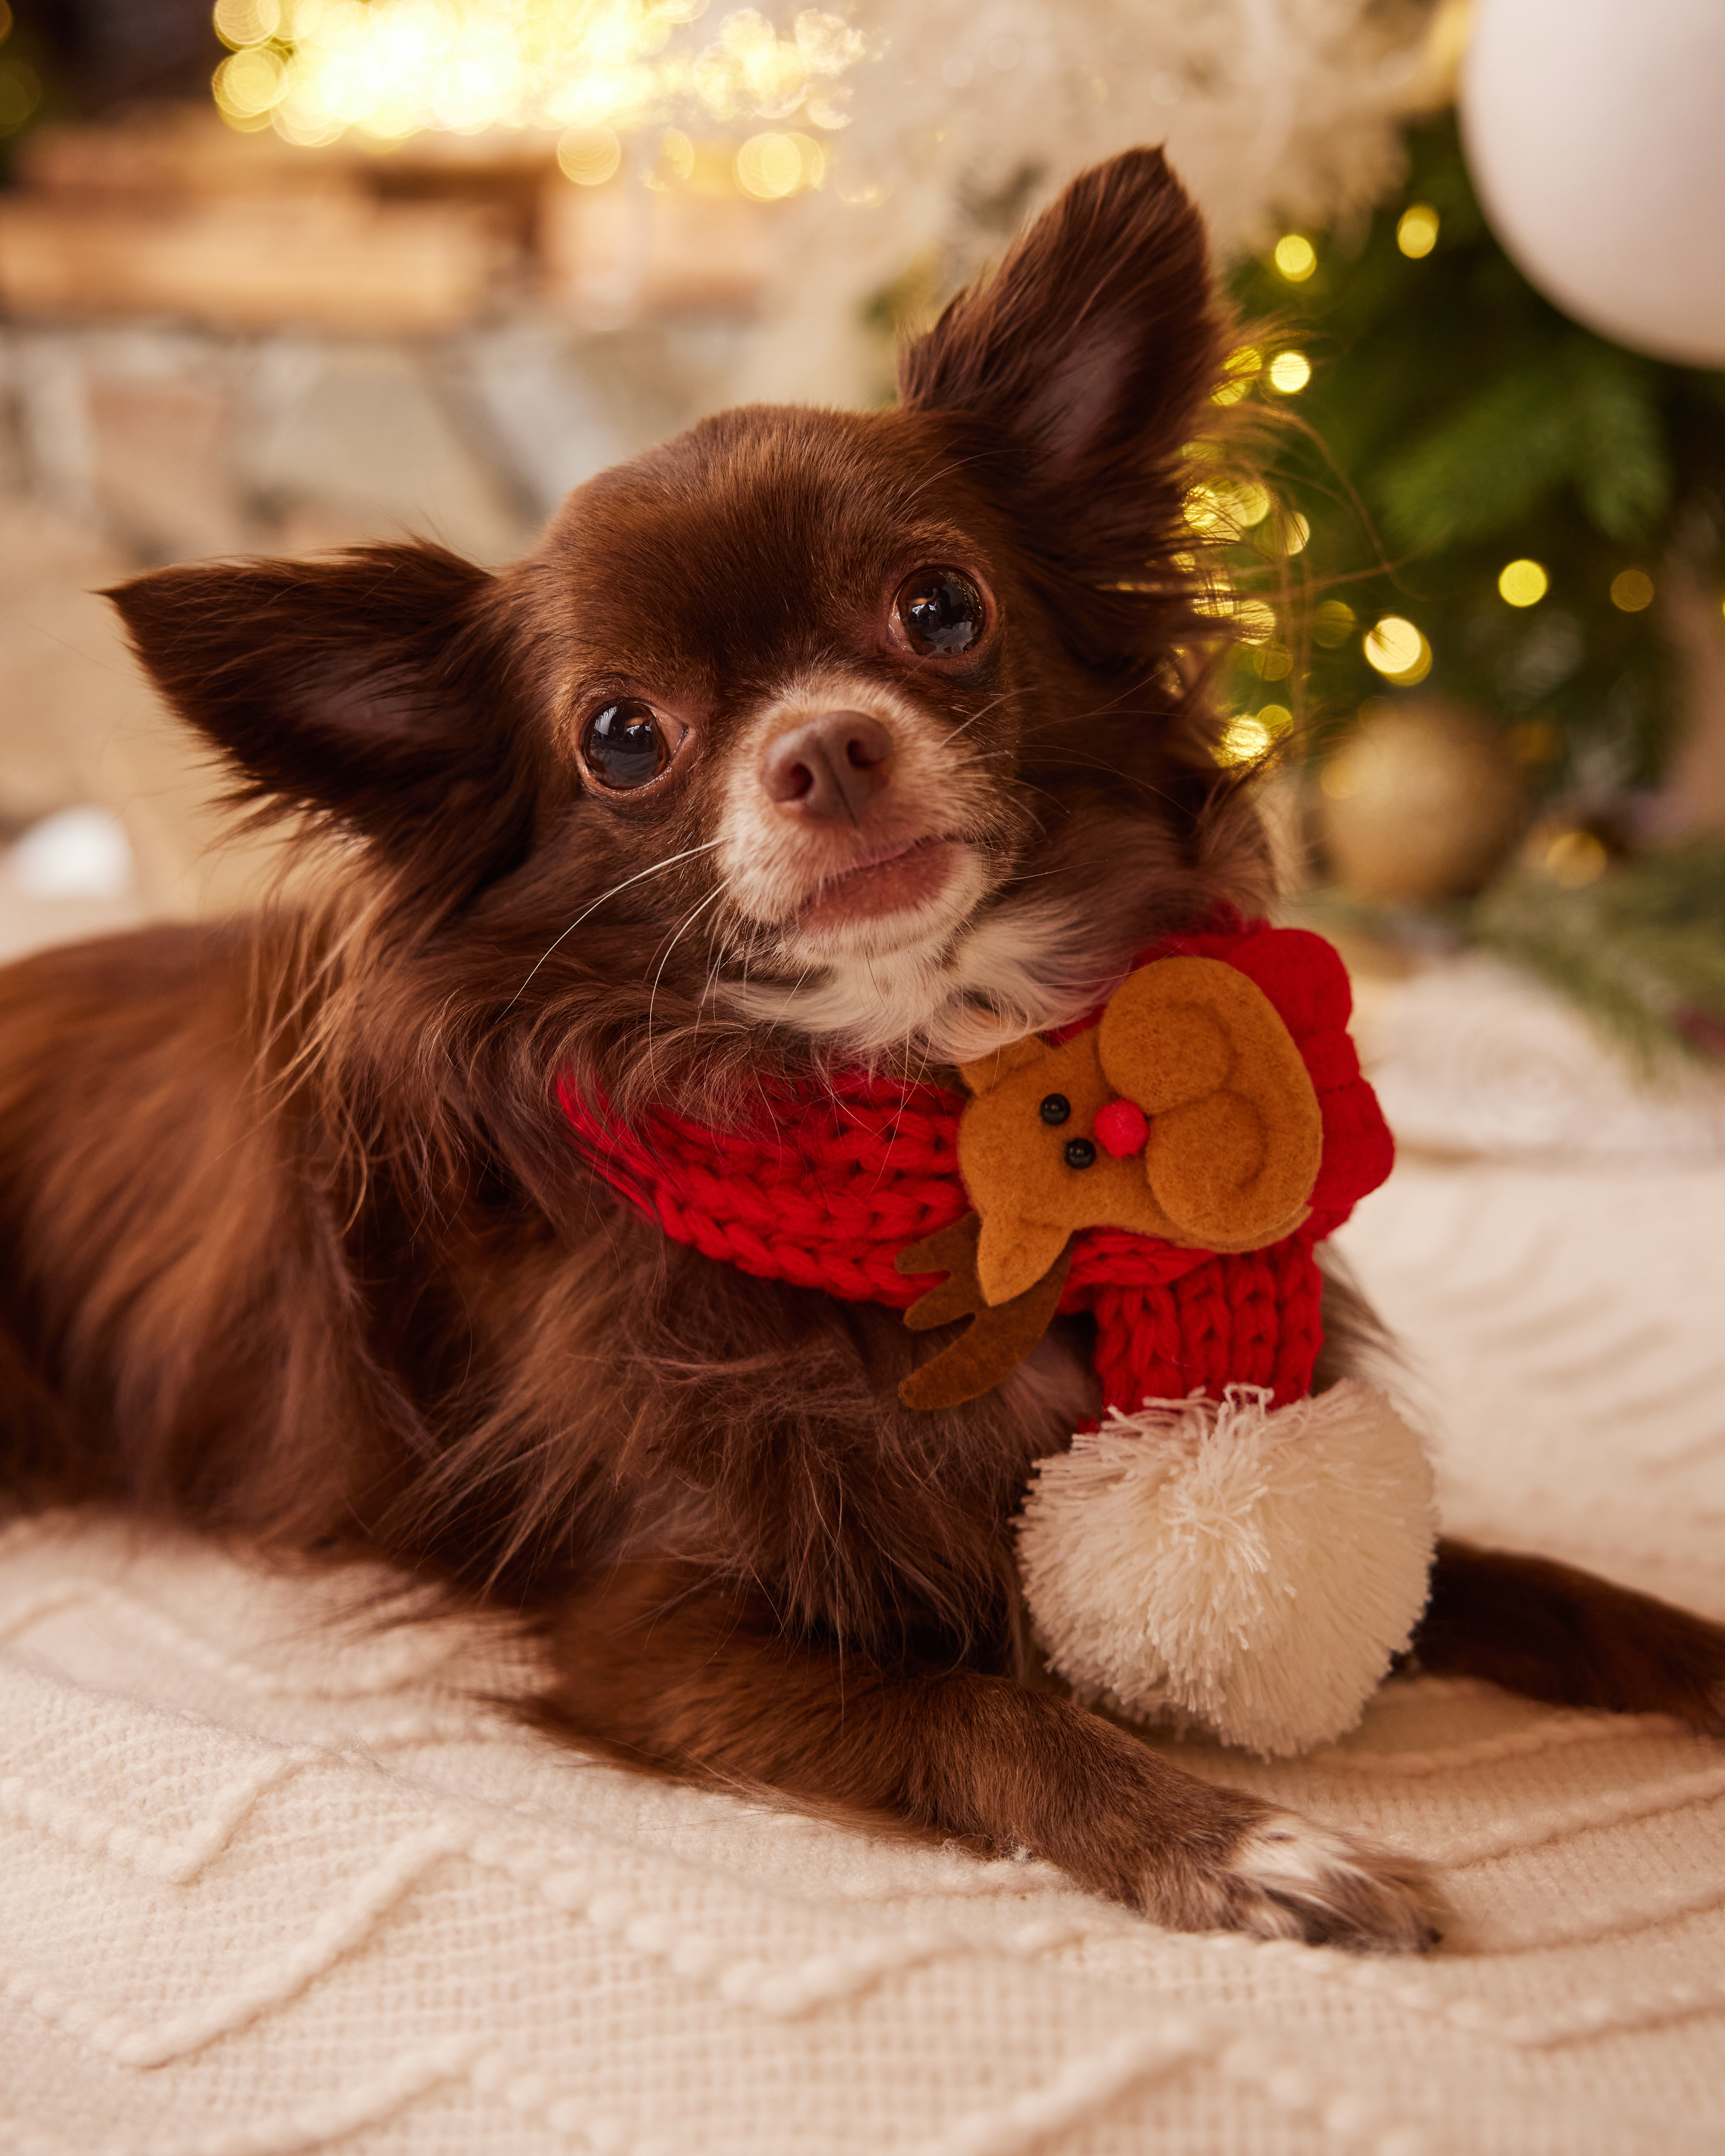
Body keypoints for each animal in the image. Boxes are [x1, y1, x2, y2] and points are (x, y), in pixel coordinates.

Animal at [3, 156, 1725, 1957]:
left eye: (940, 608)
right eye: (620, 735)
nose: (825, 745)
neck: (952, 1113)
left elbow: (1526, 1578)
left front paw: (1699, 1657)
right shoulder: (651, 1633)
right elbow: (973, 1705)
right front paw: (1243, 1842)